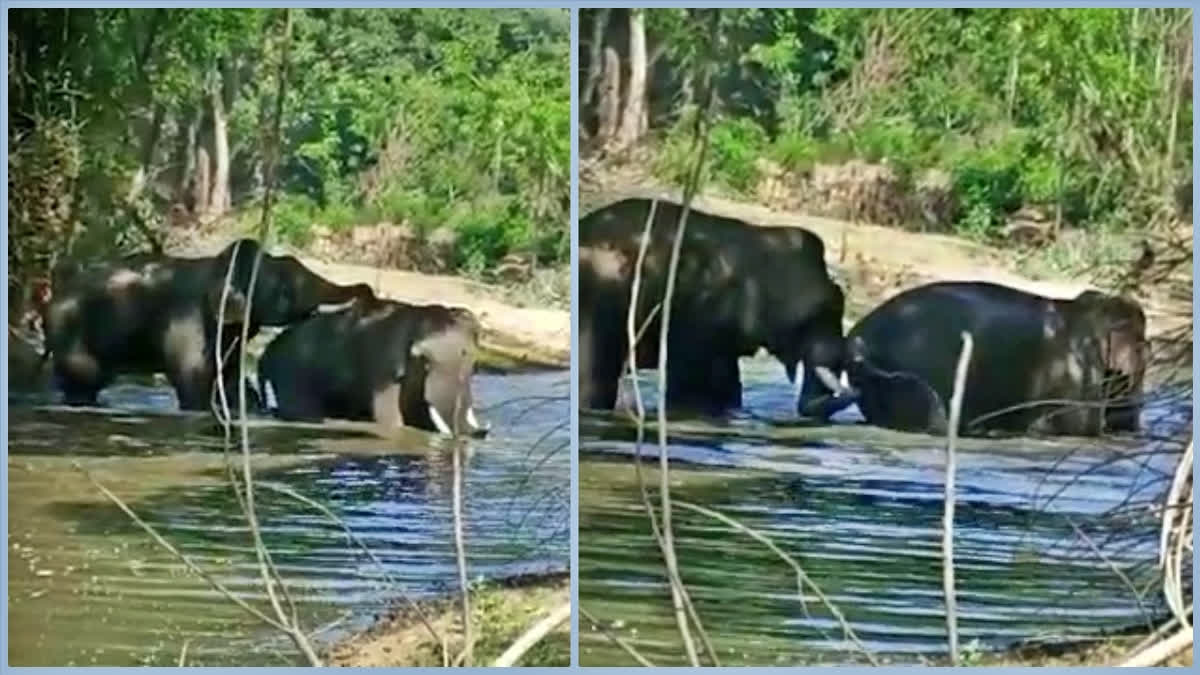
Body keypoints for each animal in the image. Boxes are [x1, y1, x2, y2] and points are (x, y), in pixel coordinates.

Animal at [44, 239, 374, 413]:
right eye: (285, 290)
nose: (368, 290)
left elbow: (231, 378)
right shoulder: (188, 319)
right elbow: (193, 379)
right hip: (70, 333)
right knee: (86, 379)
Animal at [259, 294, 492, 437]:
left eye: (474, 365)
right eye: (425, 362)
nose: (480, 432)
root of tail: (267, 352)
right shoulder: (382, 370)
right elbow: (389, 418)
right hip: (293, 374)